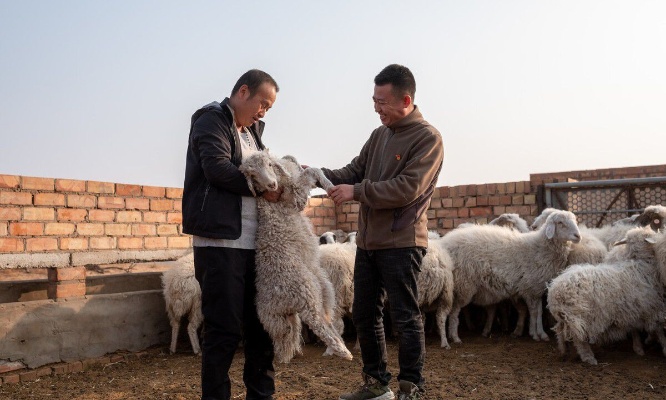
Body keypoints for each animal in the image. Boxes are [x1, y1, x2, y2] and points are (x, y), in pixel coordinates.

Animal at [239, 150, 352, 362]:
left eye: (269, 164)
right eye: (252, 175)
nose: (271, 185)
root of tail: (282, 304)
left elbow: (302, 166)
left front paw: (326, 184)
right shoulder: (295, 196)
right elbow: (311, 172)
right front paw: (330, 186)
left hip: (315, 293)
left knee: (323, 321)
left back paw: (335, 345)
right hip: (305, 291)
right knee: (316, 322)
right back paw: (343, 351)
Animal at [438, 209, 580, 344]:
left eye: (574, 220)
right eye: (560, 223)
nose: (578, 236)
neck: (539, 247)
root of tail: (445, 243)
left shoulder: (536, 289)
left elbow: (538, 312)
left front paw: (541, 334)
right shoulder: (529, 289)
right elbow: (534, 312)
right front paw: (535, 334)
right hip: (463, 285)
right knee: (454, 312)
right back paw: (455, 337)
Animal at [544, 227, 664, 364]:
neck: (639, 261)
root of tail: (554, 292)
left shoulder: (632, 308)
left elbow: (635, 328)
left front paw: (638, 348)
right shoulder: (649, 306)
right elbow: (658, 329)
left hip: (565, 317)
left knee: (559, 330)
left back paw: (564, 350)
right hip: (578, 316)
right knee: (578, 339)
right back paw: (589, 358)